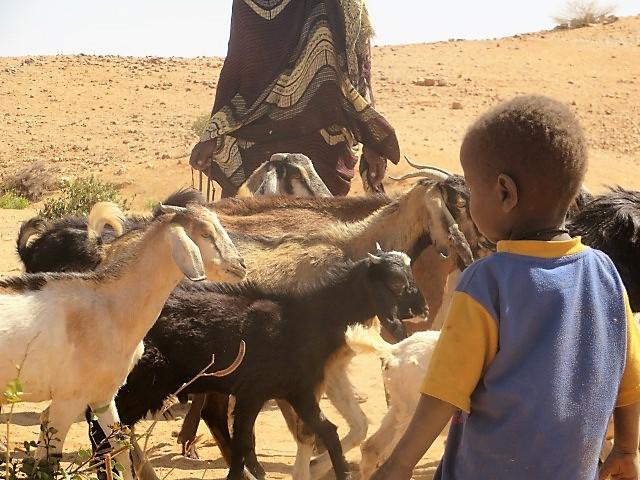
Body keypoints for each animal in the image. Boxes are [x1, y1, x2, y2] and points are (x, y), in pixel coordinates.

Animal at [0, 201, 246, 478]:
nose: (241, 266)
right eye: (205, 233)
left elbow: (120, 446)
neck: (109, 307)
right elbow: (48, 461)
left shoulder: (104, 396)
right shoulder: (68, 399)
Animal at [108, 251, 418, 480]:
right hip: (142, 385)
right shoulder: (251, 391)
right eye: (396, 284)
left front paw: (341, 472)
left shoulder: (297, 391)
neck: (301, 319)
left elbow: (328, 430)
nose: (420, 310)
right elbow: (243, 443)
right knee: (113, 431)